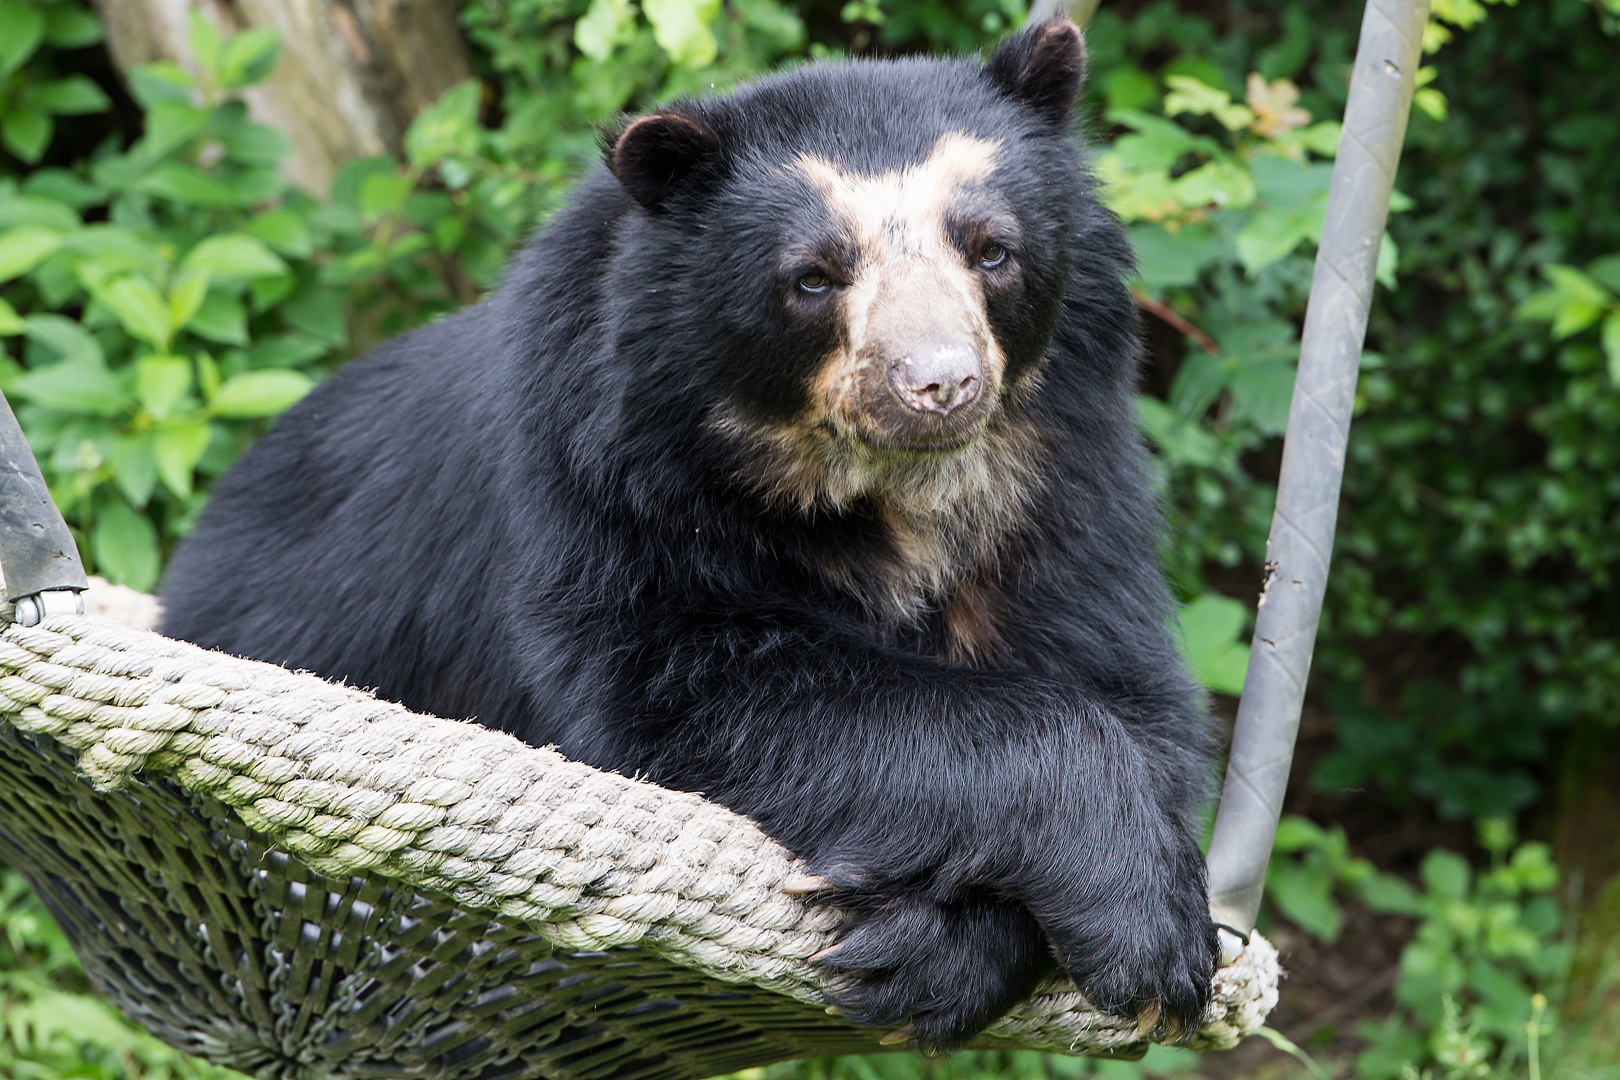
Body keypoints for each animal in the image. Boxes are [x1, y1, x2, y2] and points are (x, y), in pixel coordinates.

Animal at [161, 19, 1218, 1055]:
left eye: (991, 250)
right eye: (813, 278)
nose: (939, 384)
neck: (885, 496)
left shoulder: (1066, 484)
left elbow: (1123, 685)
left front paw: (934, 951)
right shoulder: (604, 485)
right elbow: (674, 690)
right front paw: (1147, 936)